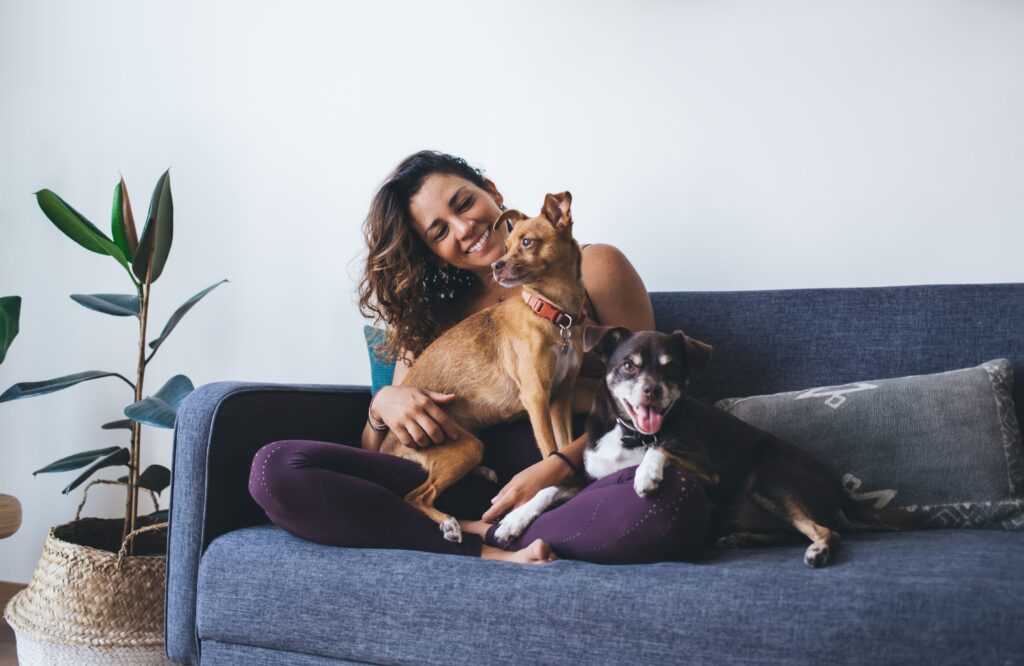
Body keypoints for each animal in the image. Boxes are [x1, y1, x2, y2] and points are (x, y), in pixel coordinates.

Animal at [378, 190, 589, 540]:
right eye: (507, 245)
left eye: (528, 242)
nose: (495, 266)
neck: (552, 313)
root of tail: (388, 446)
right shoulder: (536, 398)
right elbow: (549, 453)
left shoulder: (560, 398)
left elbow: (564, 447)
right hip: (461, 448)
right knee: (415, 495)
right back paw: (449, 523)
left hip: (467, 443)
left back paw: (484, 473)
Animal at [491, 323, 917, 561]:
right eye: (628, 365)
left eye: (672, 368)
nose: (651, 391)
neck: (631, 433)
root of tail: (839, 490)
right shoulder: (592, 478)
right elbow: (547, 489)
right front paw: (513, 520)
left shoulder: (709, 473)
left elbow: (662, 447)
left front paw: (646, 474)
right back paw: (741, 538)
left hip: (768, 478)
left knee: (827, 530)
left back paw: (819, 550)